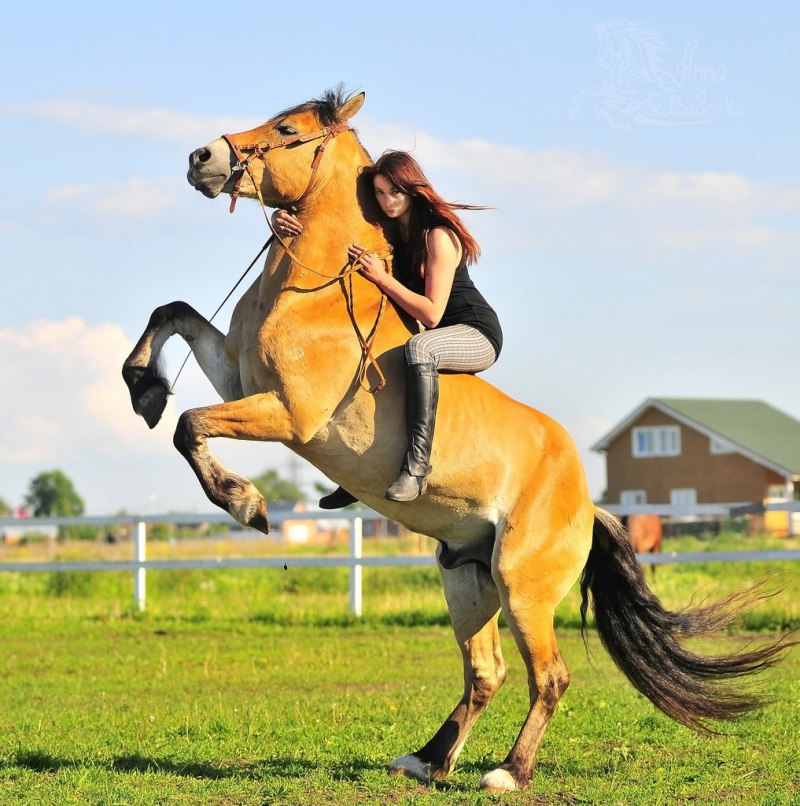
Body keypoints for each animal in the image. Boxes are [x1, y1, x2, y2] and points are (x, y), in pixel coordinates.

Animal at [122, 87, 792, 796]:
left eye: (287, 128)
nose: (201, 157)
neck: (317, 288)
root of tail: (588, 503)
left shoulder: (287, 413)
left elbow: (191, 424)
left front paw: (243, 502)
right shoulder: (238, 376)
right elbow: (173, 316)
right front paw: (144, 388)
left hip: (522, 585)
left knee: (548, 675)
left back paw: (508, 772)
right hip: (466, 579)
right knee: (485, 672)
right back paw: (428, 760)